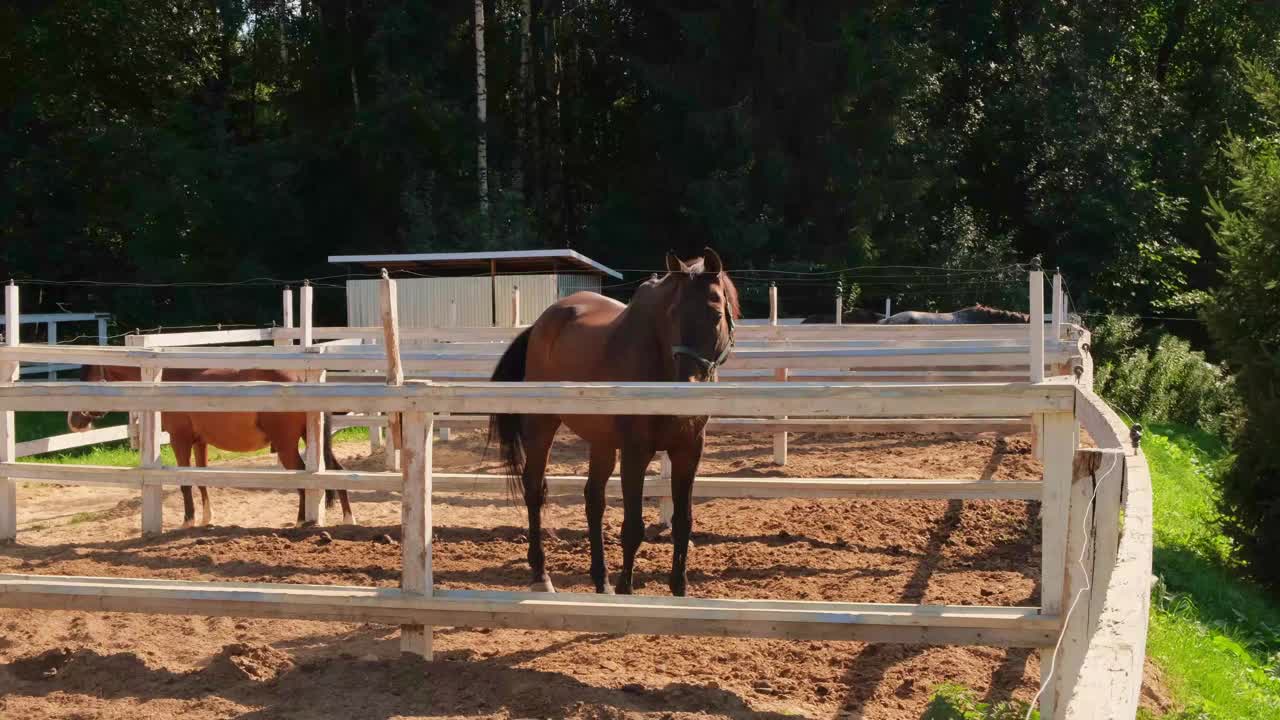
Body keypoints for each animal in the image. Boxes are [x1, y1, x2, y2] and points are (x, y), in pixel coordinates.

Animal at [67, 363, 353, 527]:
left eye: (88, 380)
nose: (73, 421)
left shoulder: (180, 440)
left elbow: (185, 483)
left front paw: (188, 521)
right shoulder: (199, 443)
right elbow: (201, 479)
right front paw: (207, 518)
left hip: (286, 447)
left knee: (304, 479)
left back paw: (301, 521)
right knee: (336, 471)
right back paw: (348, 519)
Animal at [483, 245, 742, 594]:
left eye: (715, 315)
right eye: (671, 315)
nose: (686, 389)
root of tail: (541, 323)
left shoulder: (688, 451)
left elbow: (683, 522)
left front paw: (679, 589)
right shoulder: (635, 452)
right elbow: (633, 526)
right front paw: (625, 590)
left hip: (602, 442)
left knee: (594, 499)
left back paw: (600, 579)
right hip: (542, 427)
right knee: (535, 490)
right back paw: (541, 576)